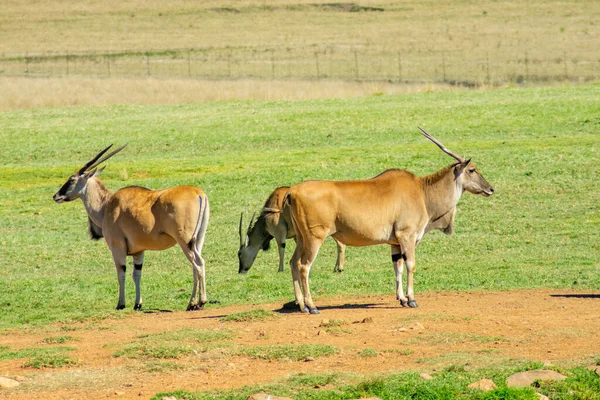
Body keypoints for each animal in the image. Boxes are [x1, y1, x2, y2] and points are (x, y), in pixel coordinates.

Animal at [52, 145, 211, 310]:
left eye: (72, 179)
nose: (56, 196)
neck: (107, 205)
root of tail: (199, 193)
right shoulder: (139, 252)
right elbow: (137, 275)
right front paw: (137, 303)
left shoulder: (118, 248)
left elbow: (121, 273)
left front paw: (121, 304)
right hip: (197, 241)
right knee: (195, 266)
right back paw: (193, 303)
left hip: (184, 241)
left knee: (199, 264)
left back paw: (199, 301)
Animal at [284, 127, 494, 312]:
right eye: (472, 170)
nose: (490, 189)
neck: (422, 192)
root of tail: (292, 191)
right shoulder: (407, 236)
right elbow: (410, 264)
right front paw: (412, 299)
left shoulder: (395, 242)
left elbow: (397, 266)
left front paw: (402, 299)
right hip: (314, 238)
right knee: (304, 266)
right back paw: (312, 306)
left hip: (302, 238)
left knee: (293, 262)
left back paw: (301, 304)